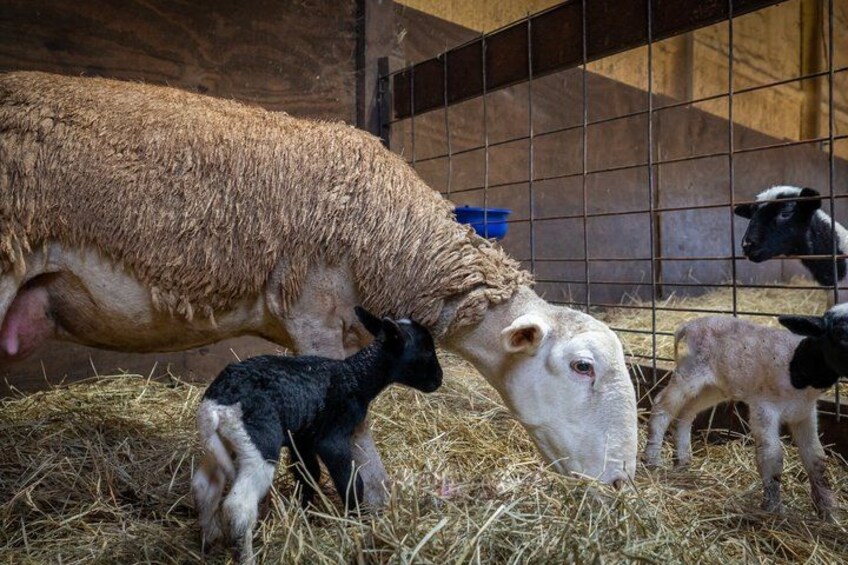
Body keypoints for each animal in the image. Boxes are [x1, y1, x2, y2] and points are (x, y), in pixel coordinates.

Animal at [0, 71, 638, 498]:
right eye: (583, 367)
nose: (621, 481)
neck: (394, 240)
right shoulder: (314, 314)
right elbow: (354, 431)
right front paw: (370, 506)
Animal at [192, 307, 443, 563]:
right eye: (425, 351)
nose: (439, 380)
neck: (356, 377)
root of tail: (218, 406)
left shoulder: (302, 437)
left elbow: (308, 473)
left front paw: (306, 513)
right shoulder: (331, 437)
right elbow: (351, 481)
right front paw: (355, 519)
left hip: (223, 444)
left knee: (204, 486)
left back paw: (210, 538)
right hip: (261, 442)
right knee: (238, 506)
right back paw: (246, 556)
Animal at [643, 316, 836, 520]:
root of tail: (686, 326)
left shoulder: (805, 413)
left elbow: (815, 456)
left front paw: (828, 511)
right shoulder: (764, 407)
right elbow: (772, 455)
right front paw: (774, 509)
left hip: (712, 388)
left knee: (685, 413)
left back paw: (683, 462)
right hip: (689, 373)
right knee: (662, 405)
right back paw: (652, 460)